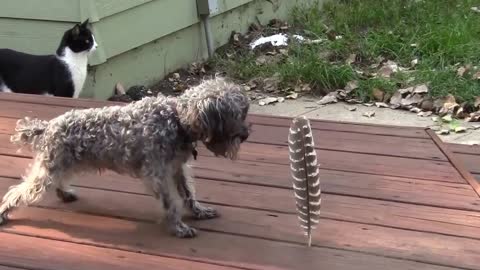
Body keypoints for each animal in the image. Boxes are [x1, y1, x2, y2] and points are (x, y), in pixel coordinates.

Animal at [0, 77, 251, 237]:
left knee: (57, 182)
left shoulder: (177, 168)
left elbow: (188, 193)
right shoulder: (156, 174)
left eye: (244, 112)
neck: (176, 119)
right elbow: (171, 203)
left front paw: (199, 211)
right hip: (50, 170)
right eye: (235, 115)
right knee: (16, 193)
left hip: (62, 165)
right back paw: (4, 213)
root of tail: (47, 126)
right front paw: (178, 227)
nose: (246, 134)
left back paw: (65, 194)